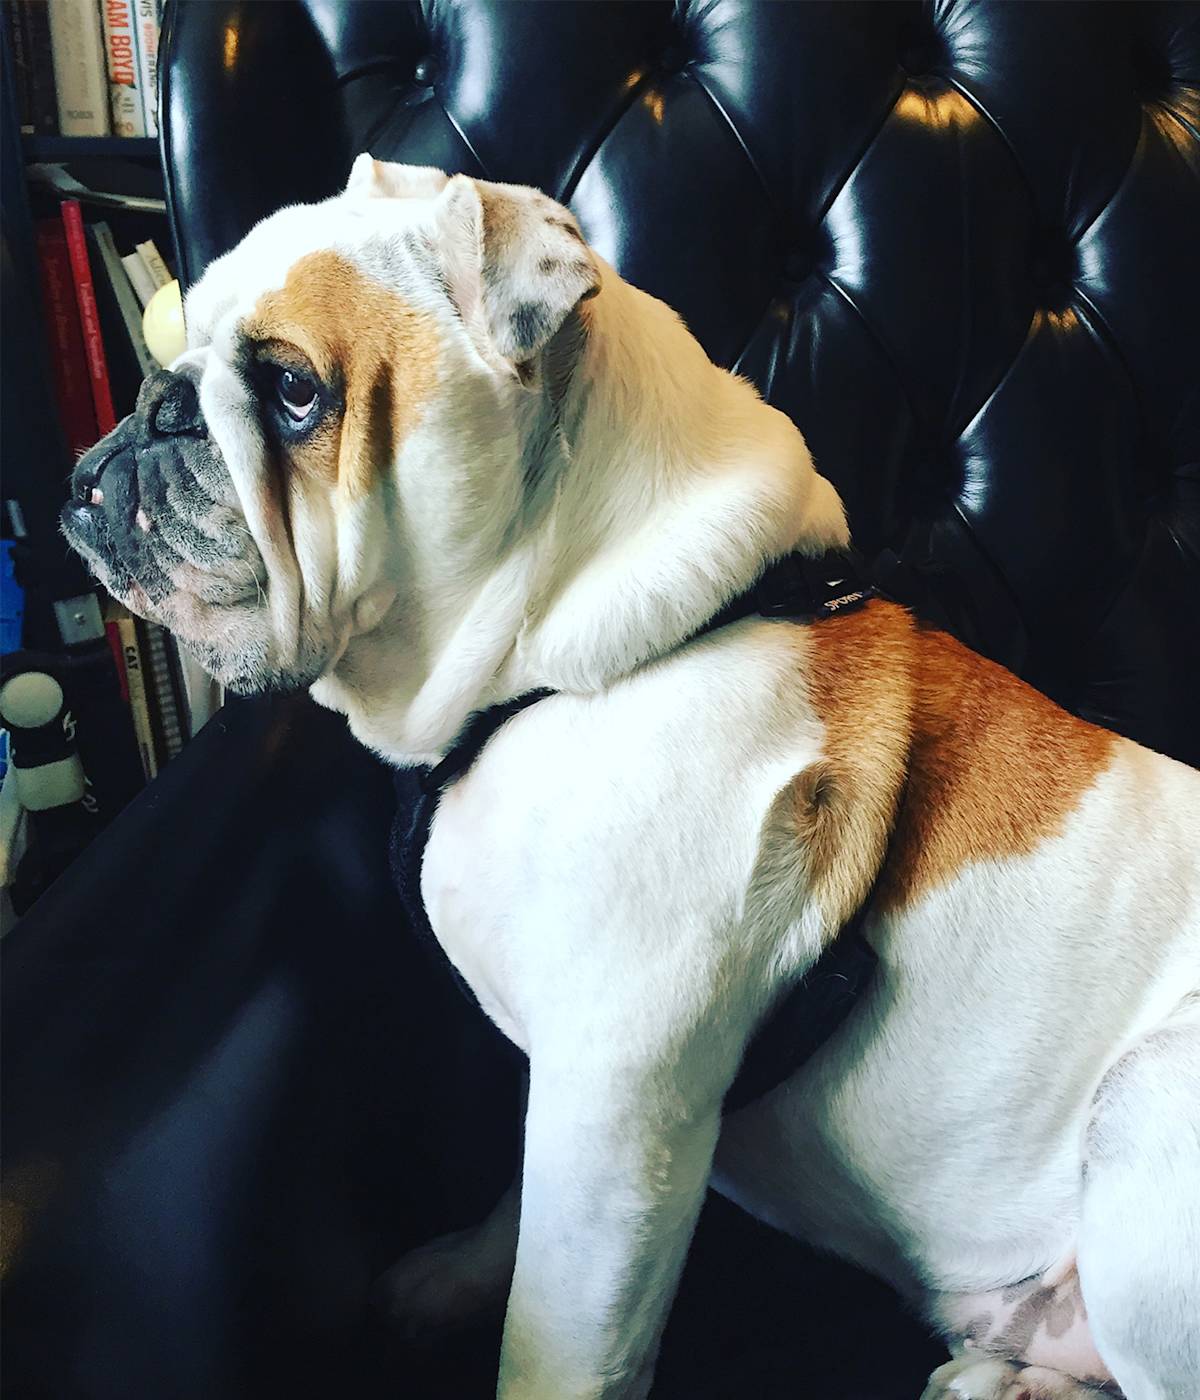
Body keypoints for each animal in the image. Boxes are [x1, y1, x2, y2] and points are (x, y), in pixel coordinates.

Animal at [64, 158, 1200, 1400]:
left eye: (293, 390)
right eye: (183, 336)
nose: (156, 403)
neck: (570, 662)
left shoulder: (616, 1098)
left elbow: (559, 1332)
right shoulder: (575, 1096)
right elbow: (521, 1206)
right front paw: (459, 1274)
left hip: (1152, 1102)